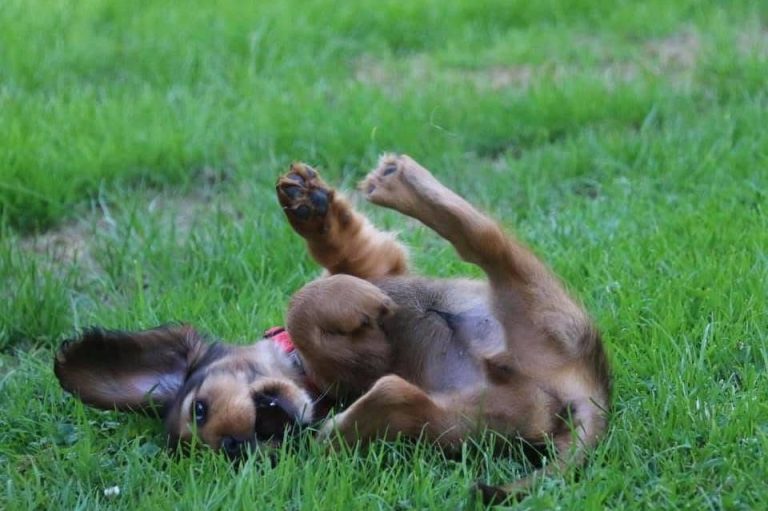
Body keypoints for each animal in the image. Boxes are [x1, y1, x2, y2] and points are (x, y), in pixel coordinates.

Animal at [54, 154, 611, 503]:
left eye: (200, 408)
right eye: (236, 461)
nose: (238, 443)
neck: (303, 373)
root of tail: (583, 392)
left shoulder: (376, 264)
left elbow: (319, 280)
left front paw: (308, 206)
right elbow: (313, 316)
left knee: (481, 239)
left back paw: (398, 182)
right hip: (473, 414)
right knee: (403, 392)